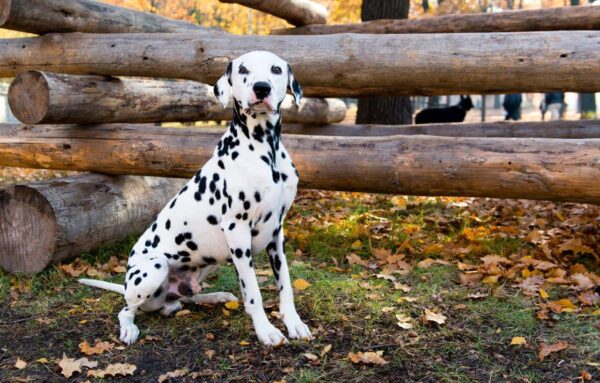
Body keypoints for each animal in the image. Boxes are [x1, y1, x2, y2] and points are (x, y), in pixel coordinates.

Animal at [79, 51, 312, 348]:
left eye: (276, 69)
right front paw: (266, 330)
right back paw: (129, 328)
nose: (262, 88)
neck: (265, 150)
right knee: (126, 309)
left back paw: (215, 297)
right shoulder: (237, 230)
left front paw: (294, 323)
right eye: (244, 69)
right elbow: (253, 293)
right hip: (153, 268)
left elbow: (285, 285)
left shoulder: (276, 233)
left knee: (186, 296)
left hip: (208, 261)